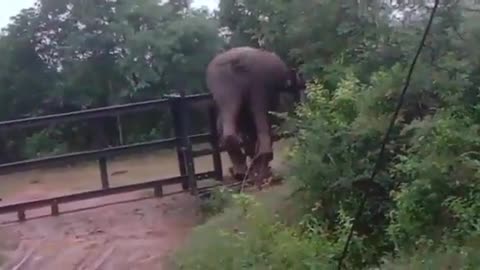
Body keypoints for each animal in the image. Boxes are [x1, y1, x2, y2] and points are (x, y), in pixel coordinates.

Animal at [205, 46, 304, 188]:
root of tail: (238, 60)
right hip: (257, 83)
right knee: (260, 121)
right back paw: (260, 174)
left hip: (223, 84)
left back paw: (245, 174)